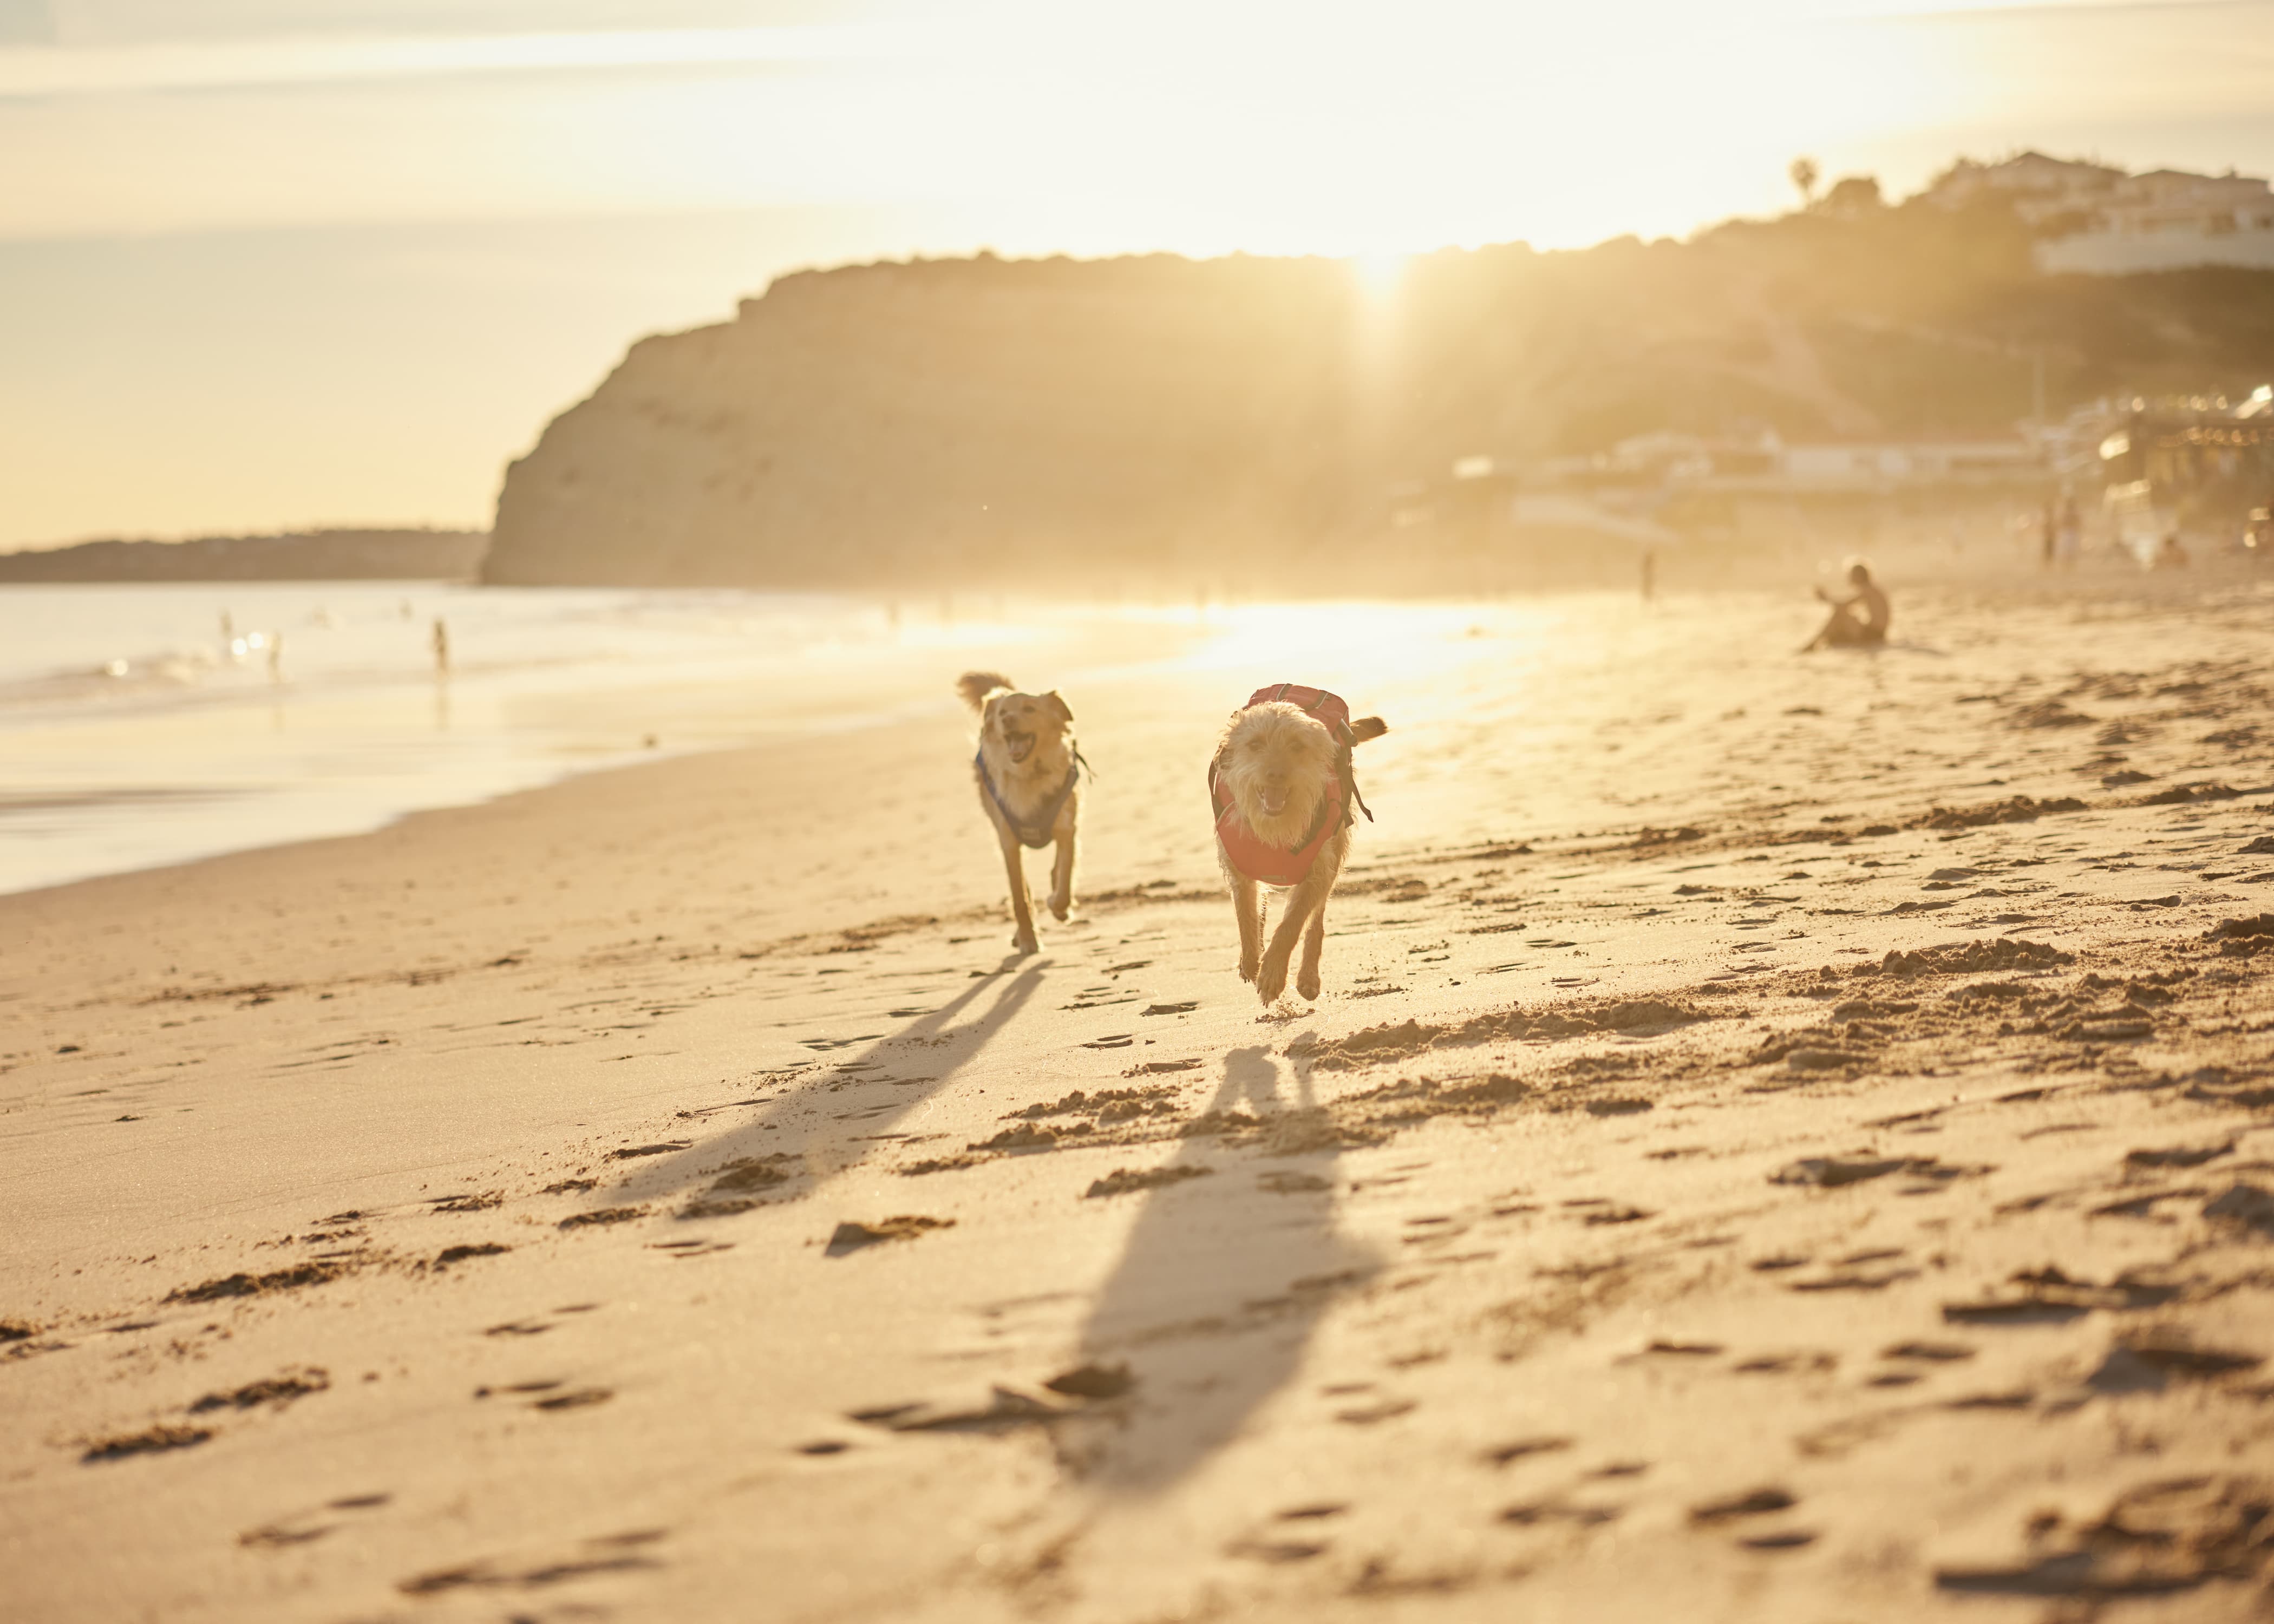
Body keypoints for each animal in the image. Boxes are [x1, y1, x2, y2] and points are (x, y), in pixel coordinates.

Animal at [955, 669, 1087, 955]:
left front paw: (1060, 907)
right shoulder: (1008, 840)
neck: (1028, 774)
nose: (1008, 720)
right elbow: (1019, 896)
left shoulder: (1066, 828)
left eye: (1030, 709)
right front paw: (1028, 937)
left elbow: (1066, 876)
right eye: (1003, 712)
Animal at [1210, 678, 1382, 1000]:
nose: (1276, 773)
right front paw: (1251, 960)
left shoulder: (1317, 870)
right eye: (1255, 745)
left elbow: (1292, 924)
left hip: (1336, 850)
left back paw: (1308, 977)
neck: (1276, 827)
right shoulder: (1239, 869)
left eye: (1297, 746)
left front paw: (1273, 973)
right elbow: (1245, 916)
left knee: (1316, 921)